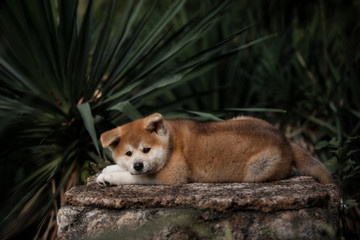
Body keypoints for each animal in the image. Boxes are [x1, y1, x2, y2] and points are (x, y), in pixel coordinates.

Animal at [97, 113, 334, 186]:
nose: (138, 165)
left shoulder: (171, 176)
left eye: (146, 149)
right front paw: (106, 171)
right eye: (128, 153)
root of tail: (285, 139)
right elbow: (122, 169)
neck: (171, 142)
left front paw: (110, 177)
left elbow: (132, 178)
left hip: (259, 169)